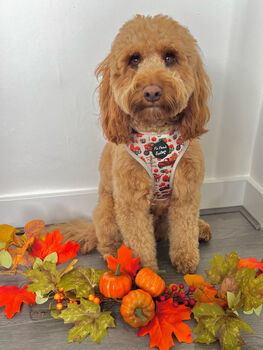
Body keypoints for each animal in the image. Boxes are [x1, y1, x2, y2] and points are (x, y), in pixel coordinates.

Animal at [50, 15, 213, 274]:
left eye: (170, 57)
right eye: (134, 59)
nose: (152, 91)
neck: (157, 137)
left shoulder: (186, 192)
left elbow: (184, 228)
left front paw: (186, 258)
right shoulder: (130, 202)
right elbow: (139, 241)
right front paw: (143, 271)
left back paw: (201, 228)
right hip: (107, 212)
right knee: (107, 243)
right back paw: (116, 258)